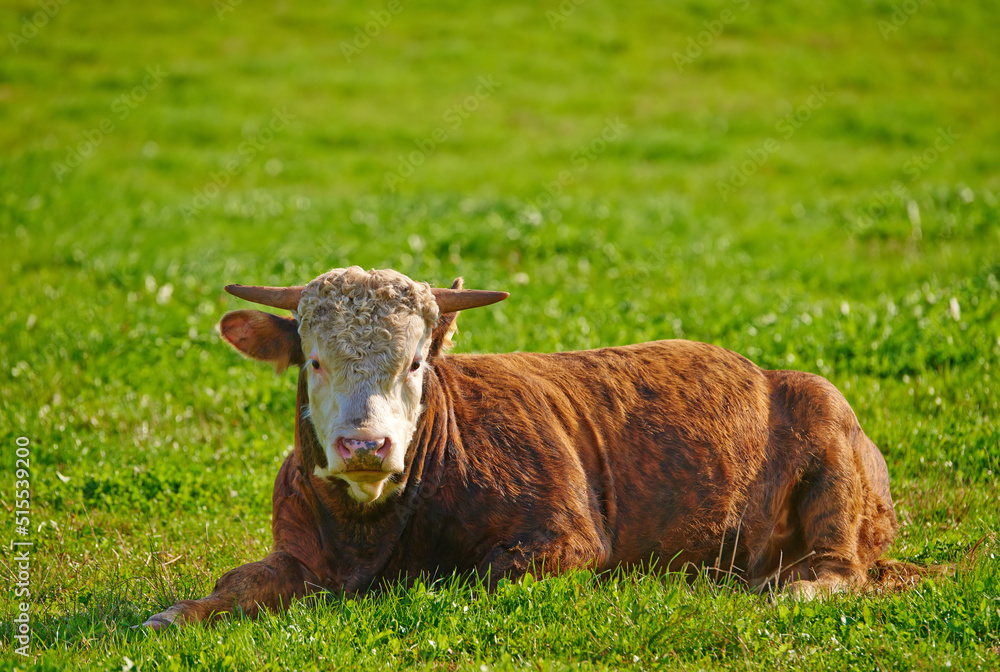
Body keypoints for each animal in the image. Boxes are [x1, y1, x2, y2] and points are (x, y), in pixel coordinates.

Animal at [146, 266, 908, 628]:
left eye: (415, 363)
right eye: (313, 360)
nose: (366, 445)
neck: (375, 530)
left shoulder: (565, 538)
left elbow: (477, 576)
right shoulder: (299, 551)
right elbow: (236, 584)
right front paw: (176, 614)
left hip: (830, 441)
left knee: (839, 571)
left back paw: (785, 590)